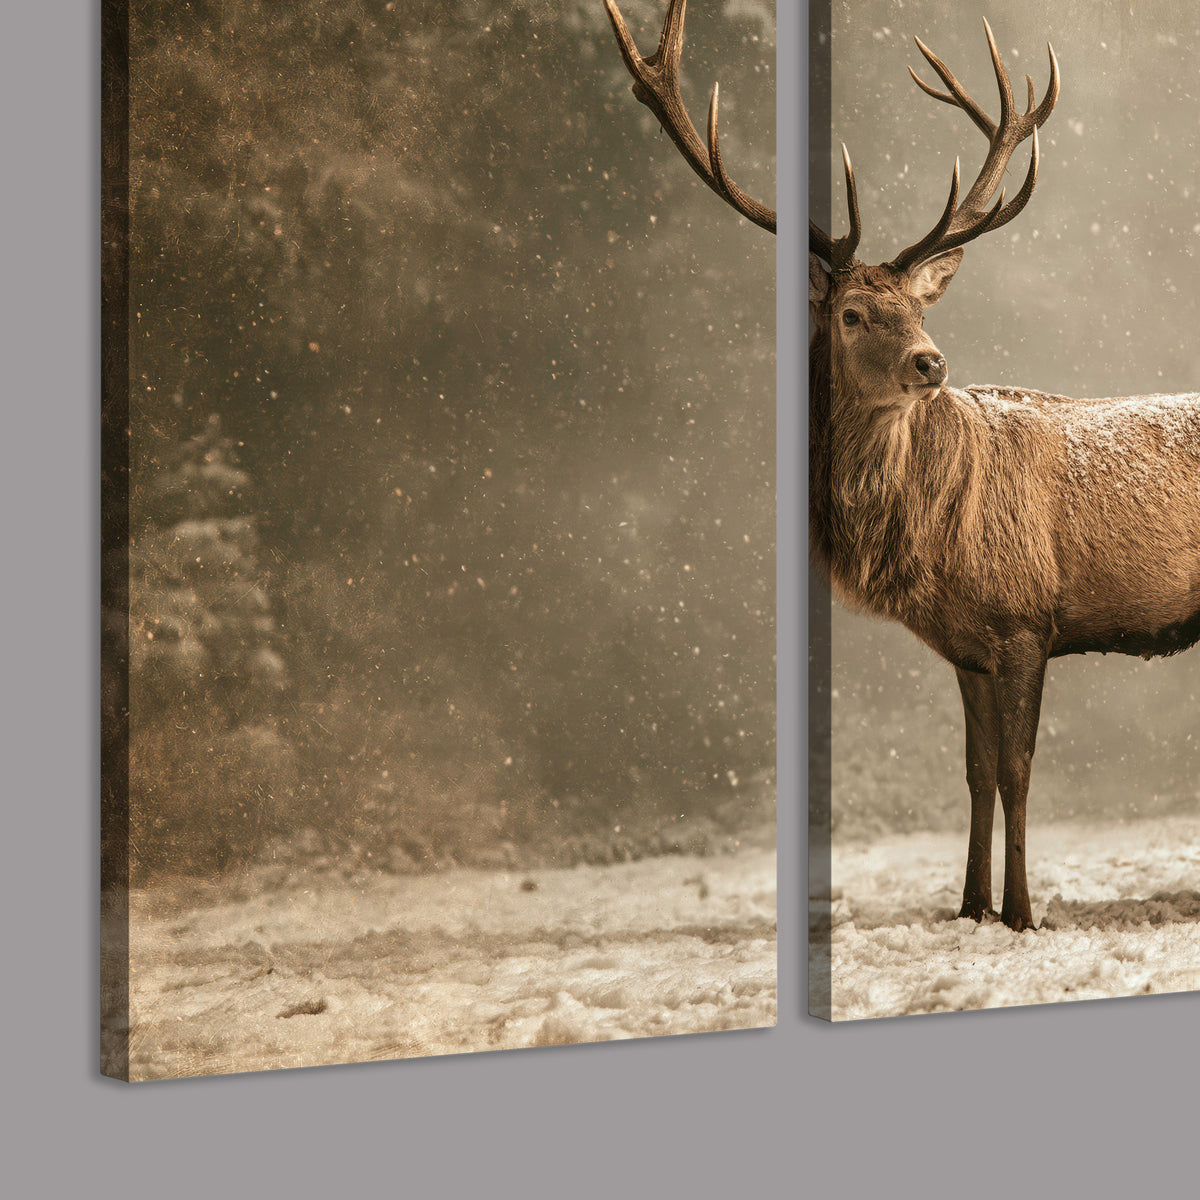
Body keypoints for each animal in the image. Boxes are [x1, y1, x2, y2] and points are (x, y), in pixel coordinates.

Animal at [604, 1, 1200, 931]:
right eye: (852, 313)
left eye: (919, 306)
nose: (931, 362)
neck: (929, 542)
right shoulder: (970, 644)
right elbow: (977, 774)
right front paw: (969, 908)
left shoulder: (1026, 618)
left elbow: (1020, 771)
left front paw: (1023, 914)